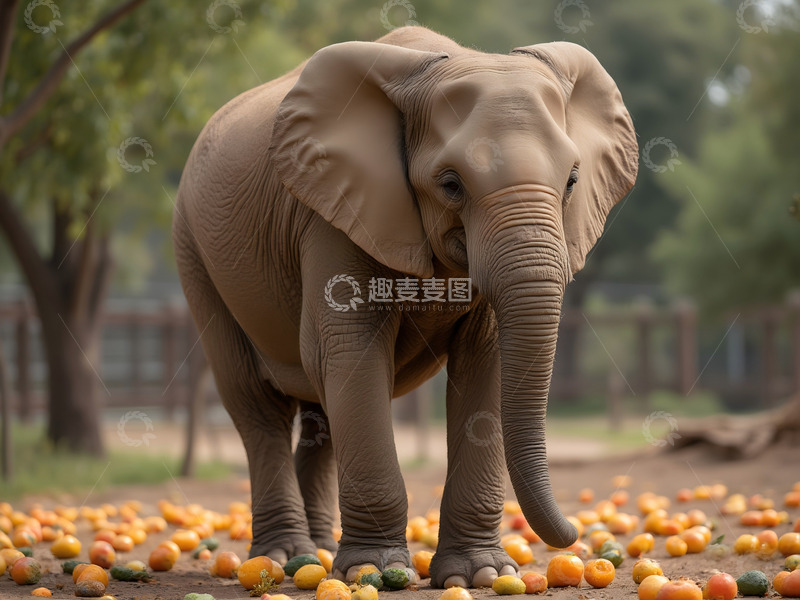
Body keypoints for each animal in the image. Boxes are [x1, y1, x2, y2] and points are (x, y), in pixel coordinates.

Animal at [173, 25, 637, 588]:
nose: (573, 535)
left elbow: (486, 358)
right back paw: (285, 557)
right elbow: (350, 351)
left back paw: (320, 551)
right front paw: (373, 571)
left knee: (320, 411)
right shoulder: (331, 214)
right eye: (451, 184)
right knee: (257, 405)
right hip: (195, 254)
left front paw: (478, 575)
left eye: (571, 180)